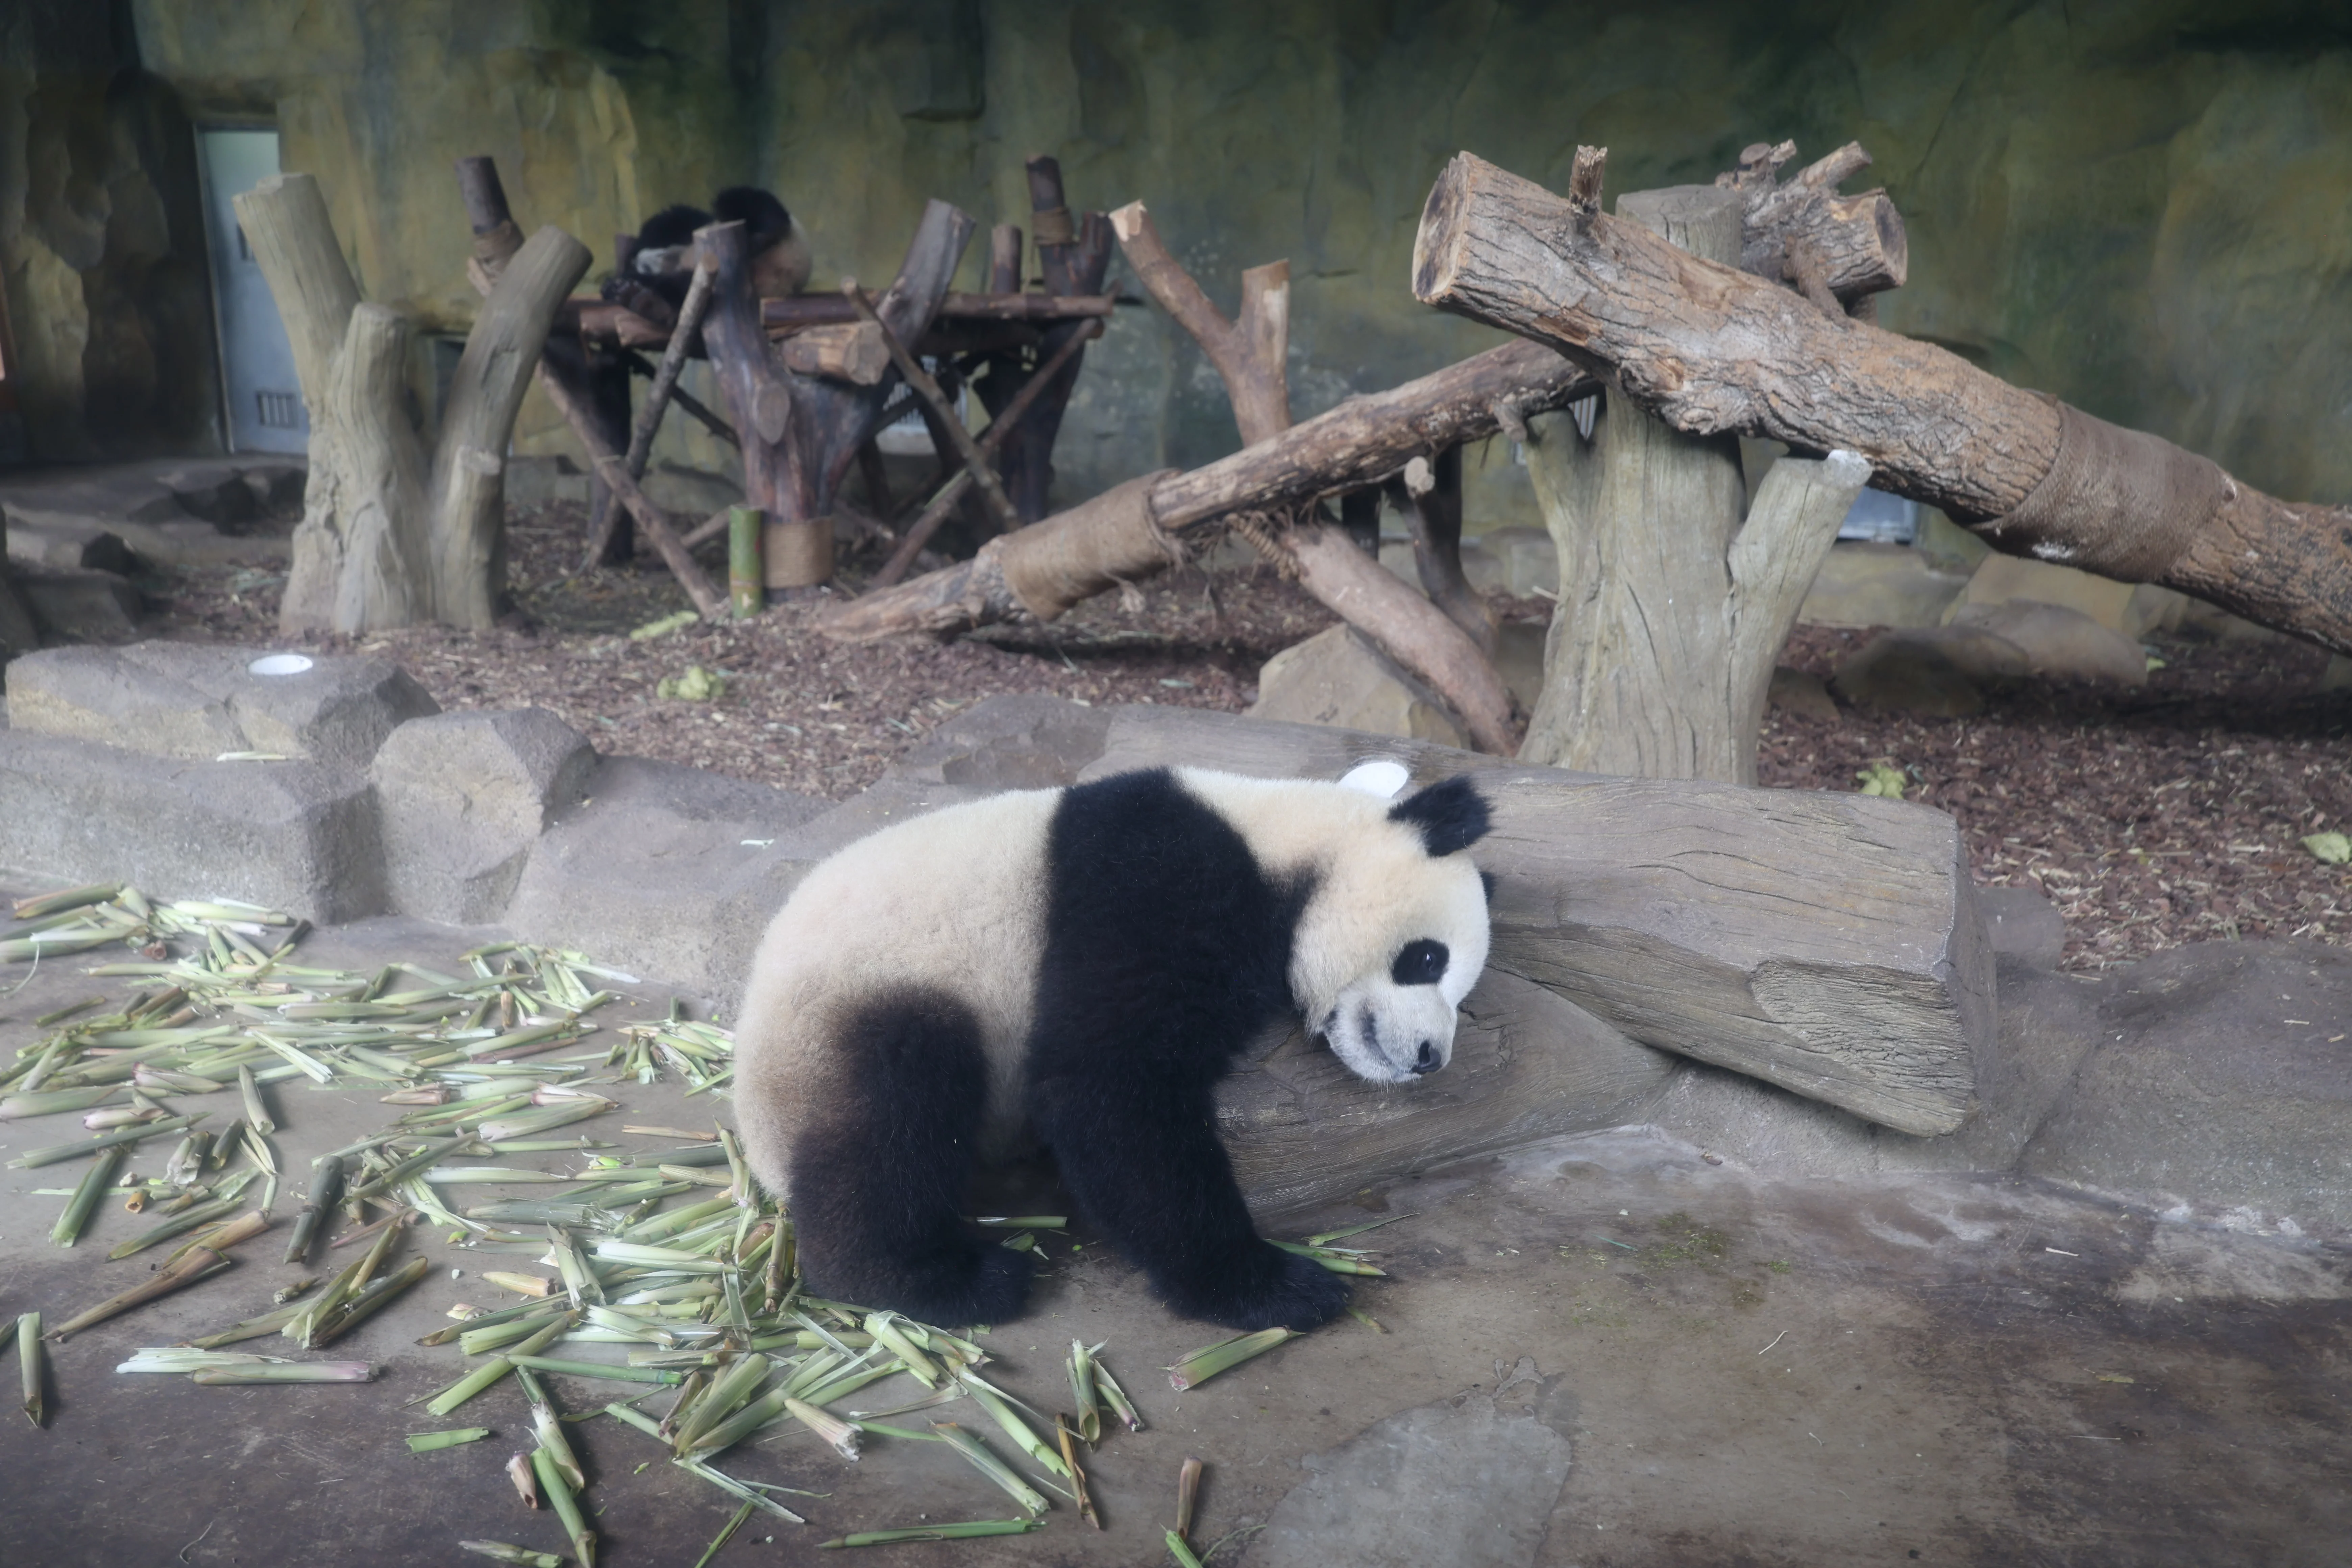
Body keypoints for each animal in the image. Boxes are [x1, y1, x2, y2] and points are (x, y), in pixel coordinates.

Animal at [732, 762, 1493, 1333]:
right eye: (1427, 959)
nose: (1430, 1056)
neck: (1282, 835)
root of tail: (759, 1142)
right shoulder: (1157, 880)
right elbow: (1110, 1083)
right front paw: (1276, 1287)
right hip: (859, 1004)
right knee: (893, 1116)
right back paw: (946, 1280)